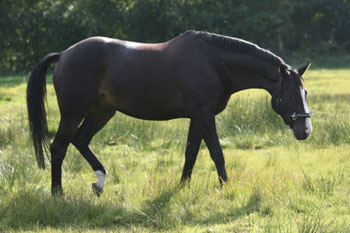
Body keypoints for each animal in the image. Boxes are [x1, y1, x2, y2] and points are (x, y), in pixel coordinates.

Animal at [26, 30, 312, 195]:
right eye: (289, 95)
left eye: (306, 93)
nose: (305, 130)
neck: (214, 63)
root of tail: (64, 54)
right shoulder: (204, 115)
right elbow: (216, 152)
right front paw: (226, 187)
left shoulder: (197, 117)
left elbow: (191, 153)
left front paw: (183, 187)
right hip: (73, 114)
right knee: (59, 148)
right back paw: (58, 193)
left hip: (102, 111)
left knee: (81, 141)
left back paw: (99, 183)